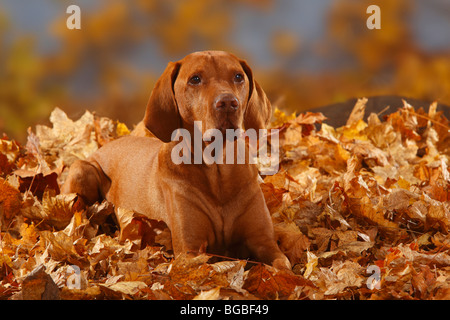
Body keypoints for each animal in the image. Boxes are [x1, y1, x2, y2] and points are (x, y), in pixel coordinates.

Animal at [61, 50, 290, 270]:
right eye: (195, 79)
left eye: (238, 76)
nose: (228, 103)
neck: (217, 169)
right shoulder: (189, 250)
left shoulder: (265, 242)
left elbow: (283, 267)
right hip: (83, 170)